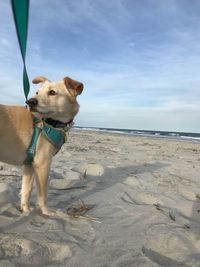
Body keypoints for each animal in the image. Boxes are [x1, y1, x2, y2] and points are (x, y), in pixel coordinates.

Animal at [0, 76, 83, 216]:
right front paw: (46, 211)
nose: (30, 101)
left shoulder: (29, 165)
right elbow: (42, 194)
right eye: (37, 92)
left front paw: (26, 210)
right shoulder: (42, 164)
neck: (50, 123)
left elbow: (26, 190)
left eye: (52, 92)